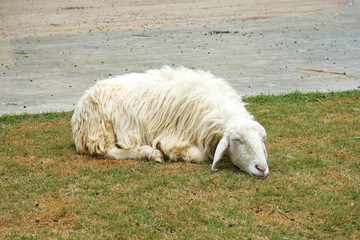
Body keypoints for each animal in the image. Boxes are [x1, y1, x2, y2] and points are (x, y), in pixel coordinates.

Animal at [71, 66, 268, 177]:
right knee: (109, 151)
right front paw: (166, 152)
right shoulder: (173, 136)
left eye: (263, 138)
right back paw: (149, 153)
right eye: (236, 140)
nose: (261, 168)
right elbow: (197, 155)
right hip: (101, 127)